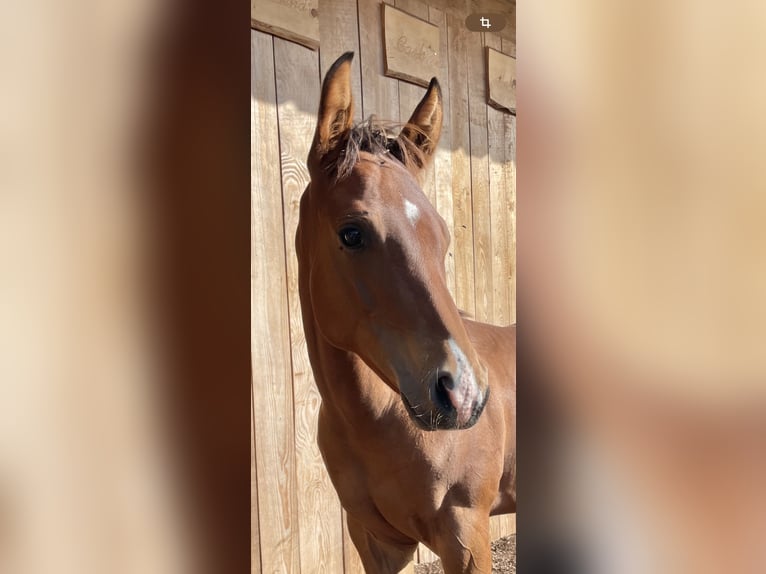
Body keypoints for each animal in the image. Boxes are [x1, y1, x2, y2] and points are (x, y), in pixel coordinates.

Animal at [296, 52, 516, 574]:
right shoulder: (376, 541)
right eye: (352, 232)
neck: (377, 420)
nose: (463, 395)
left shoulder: (466, 536)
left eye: (442, 233)